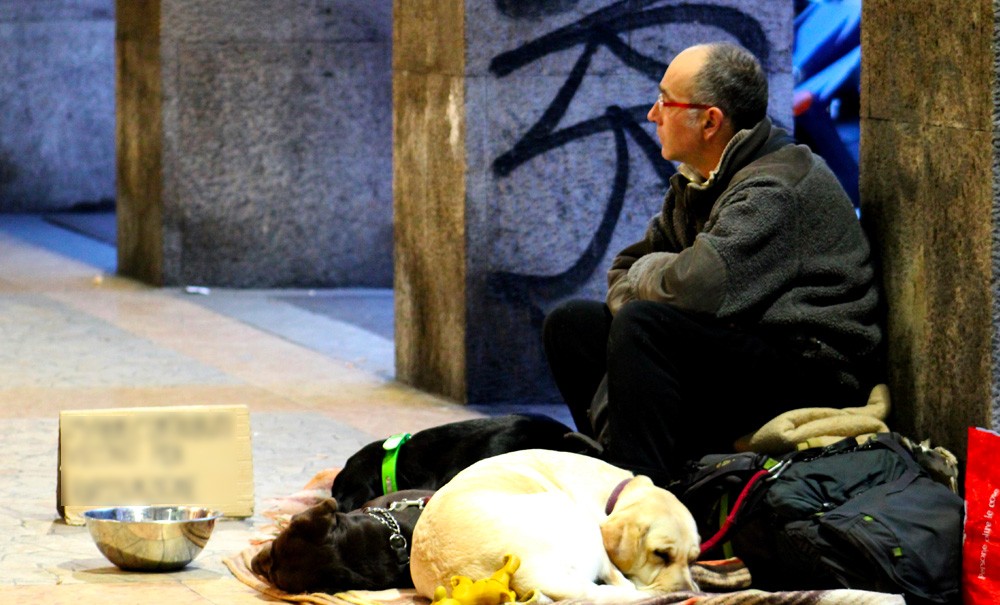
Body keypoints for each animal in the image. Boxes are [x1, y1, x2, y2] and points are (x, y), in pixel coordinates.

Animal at [409, 449, 701, 603]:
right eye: (660, 555)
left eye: (693, 559)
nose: (687, 591)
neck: (615, 492)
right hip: (576, 518)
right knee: (618, 585)